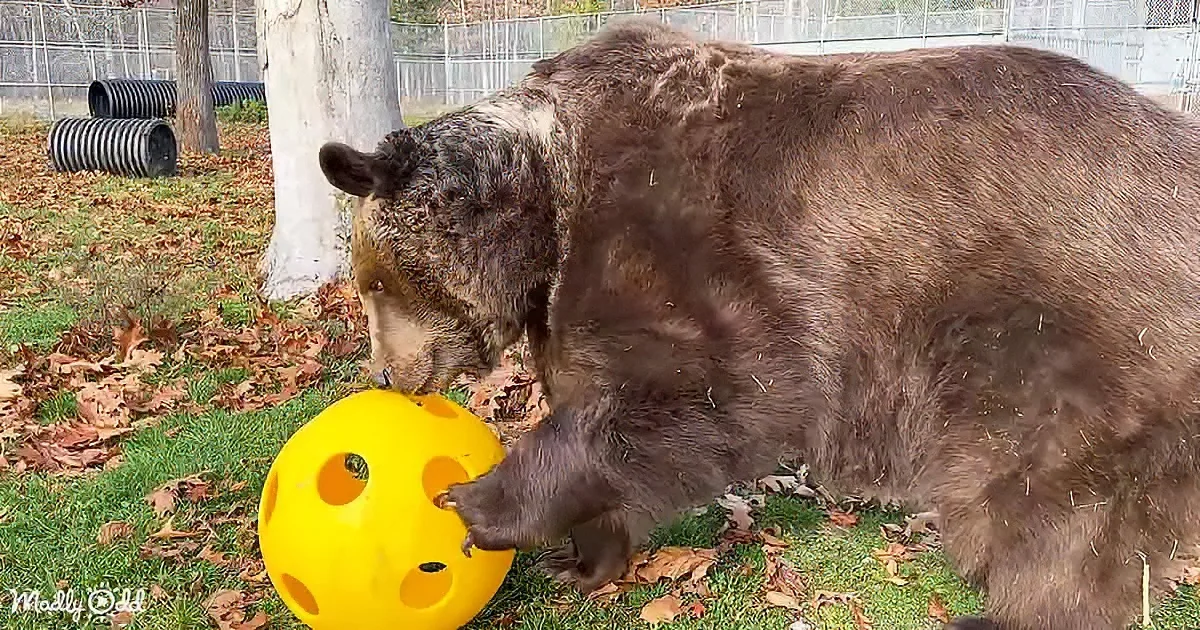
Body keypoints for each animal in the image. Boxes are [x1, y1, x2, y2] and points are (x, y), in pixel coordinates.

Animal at [318, 17, 1200, 630]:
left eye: (372, 282)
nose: (386, 373)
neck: (546, 203)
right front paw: (585, 559)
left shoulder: (686, 244)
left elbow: (701, 395)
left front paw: (477, 502)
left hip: (1072, 345)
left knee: (1049, 510)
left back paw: (1007, 609)